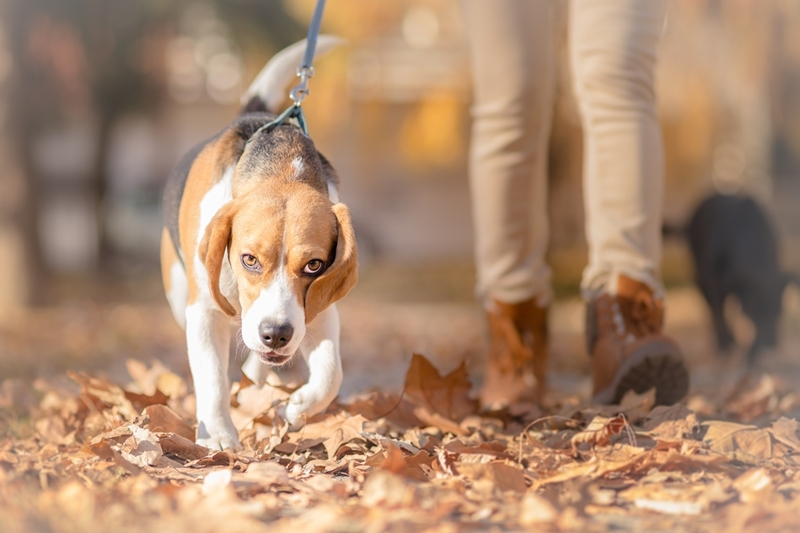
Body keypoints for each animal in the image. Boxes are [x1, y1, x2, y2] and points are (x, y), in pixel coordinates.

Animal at [159, 38, 356, 448]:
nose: (276, 335)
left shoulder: (319, 310)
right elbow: (212, 379)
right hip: (178, 295)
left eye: (314, 265)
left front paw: (299, 407)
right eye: (249, 259)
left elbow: (331, 373)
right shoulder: (203, 312)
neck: (282, 169)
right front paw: (218, 435)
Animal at [684, 191, 796, 362]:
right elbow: (719, 315)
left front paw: (751, 357)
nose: (771, 344)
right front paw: (725, 345)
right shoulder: (712, 282)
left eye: (779, 311)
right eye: (756, 311)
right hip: (700, 276)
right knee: (711, 310)